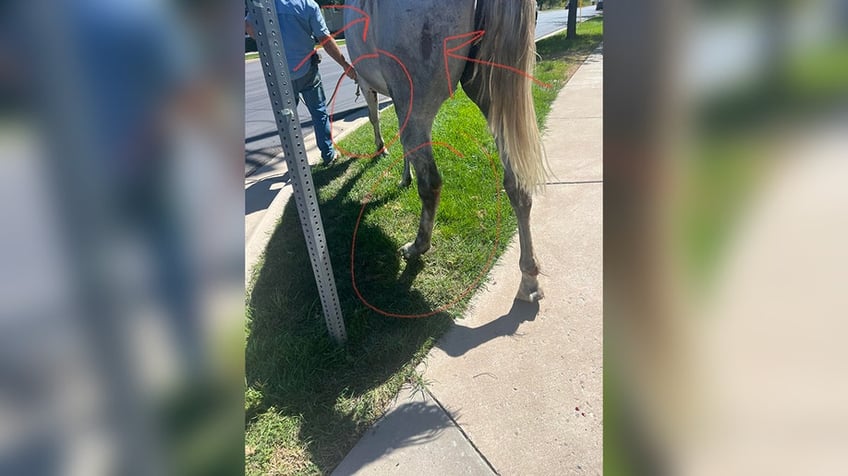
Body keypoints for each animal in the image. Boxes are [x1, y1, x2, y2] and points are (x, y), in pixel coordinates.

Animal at [342, 0, 544, 302]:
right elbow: (403, 142)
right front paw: (404, 176)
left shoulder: (374, 88)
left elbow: (375, 119)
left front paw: (384, 153)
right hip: (492, 93)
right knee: (516, 184)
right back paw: (529, 279)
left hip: (417, 102)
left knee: (431, 183)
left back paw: (417, 247)